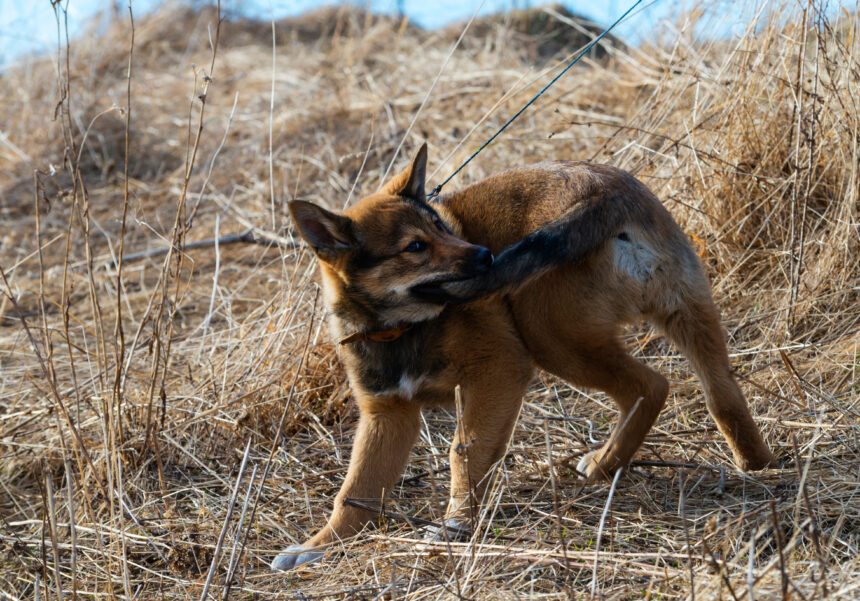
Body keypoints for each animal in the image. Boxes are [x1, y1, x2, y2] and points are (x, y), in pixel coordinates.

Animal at [270, 143, 780, 568]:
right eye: (415, 247)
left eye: (441, 227)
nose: (484, 256)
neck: (398, 328)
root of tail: (604, 191)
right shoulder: (387, 416)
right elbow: (356, 491)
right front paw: (319, 546)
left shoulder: (499, 371)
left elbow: (464, 452)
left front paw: (457, 524)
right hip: (688, 313)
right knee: (720, 395)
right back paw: (748, 464)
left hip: (550, 336)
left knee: (651, 385)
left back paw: (607, 463)